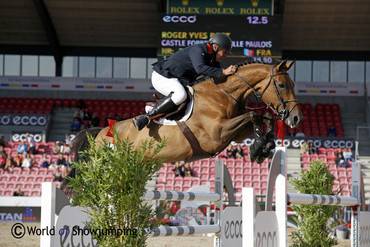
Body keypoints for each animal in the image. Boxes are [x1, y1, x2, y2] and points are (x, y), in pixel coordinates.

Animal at [68, 59, 300, 167]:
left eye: (293, 84)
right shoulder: (216, 135)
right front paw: (260, 147)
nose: (296, 118)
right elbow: (253, 116)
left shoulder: (234, 134)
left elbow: (262, 117)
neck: (224, 94)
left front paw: (263, 146)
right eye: (281, 85)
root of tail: (98, 133)